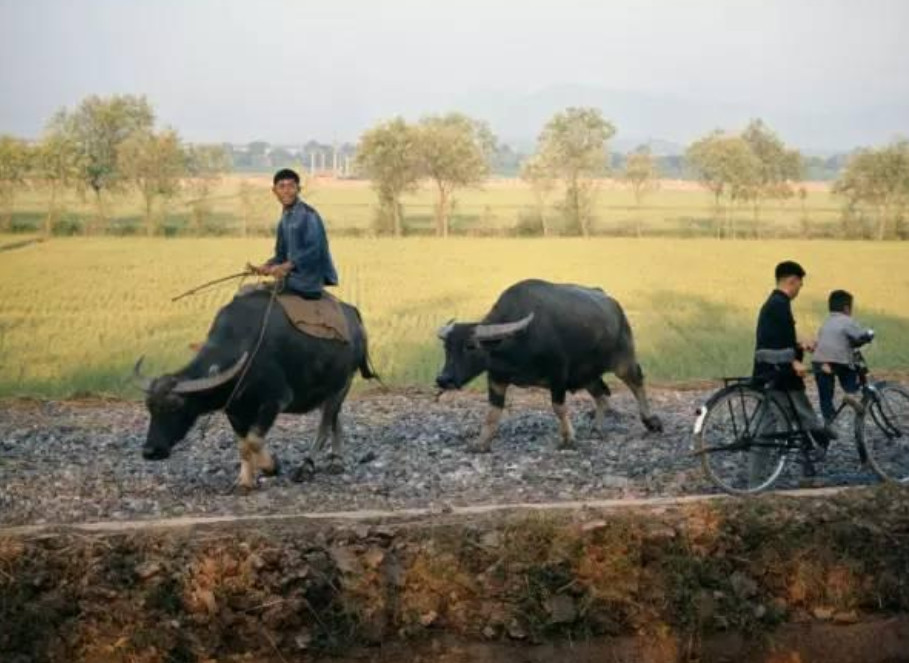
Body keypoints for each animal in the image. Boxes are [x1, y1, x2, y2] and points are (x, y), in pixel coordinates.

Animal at [134, 290, 376, 488]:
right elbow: (243, 445)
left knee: (324, 426)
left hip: (342, 385)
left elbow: (253, 440)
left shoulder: (274, 401)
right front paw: (245, 481)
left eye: (175, 408)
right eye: (150, 408)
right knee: (336, 419)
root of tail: (353, 316)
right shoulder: (235, 410)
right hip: (326, 391)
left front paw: (272, 466)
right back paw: (336, 461)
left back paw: (306, 467)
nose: (150, 451)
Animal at [434, 280, 660, 452]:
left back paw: (651, 421)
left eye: (470, 346)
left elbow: (559, 407)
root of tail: (614, 306)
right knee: (602, 396)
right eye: (446, 347)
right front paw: (481, 443)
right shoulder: (497, 378)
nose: (443, 379)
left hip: (623, 360)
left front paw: (568, 438)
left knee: (636, 382)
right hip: (587, 374)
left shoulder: (558, 375)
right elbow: (492, 414)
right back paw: (597, 429)